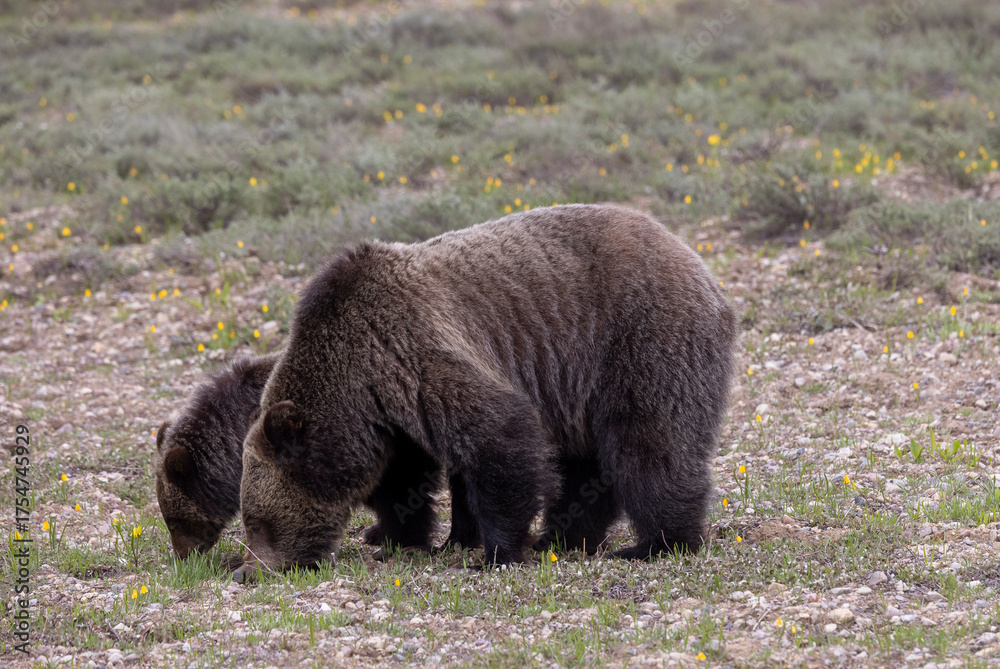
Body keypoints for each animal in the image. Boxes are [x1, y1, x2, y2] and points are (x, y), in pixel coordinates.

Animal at [233, 203, 738, 578]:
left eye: (257, 522)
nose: (246, 571)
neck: (356, 383)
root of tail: (698, 263)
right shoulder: (390, 417)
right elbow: (403, 479)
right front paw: (400, 536)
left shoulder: (412, 352)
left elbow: (498, 435)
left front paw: (493, 552)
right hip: (580, 386)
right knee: (585, 464)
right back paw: (563, 536)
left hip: (640, 336)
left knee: (651, 441)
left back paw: (657, 542)